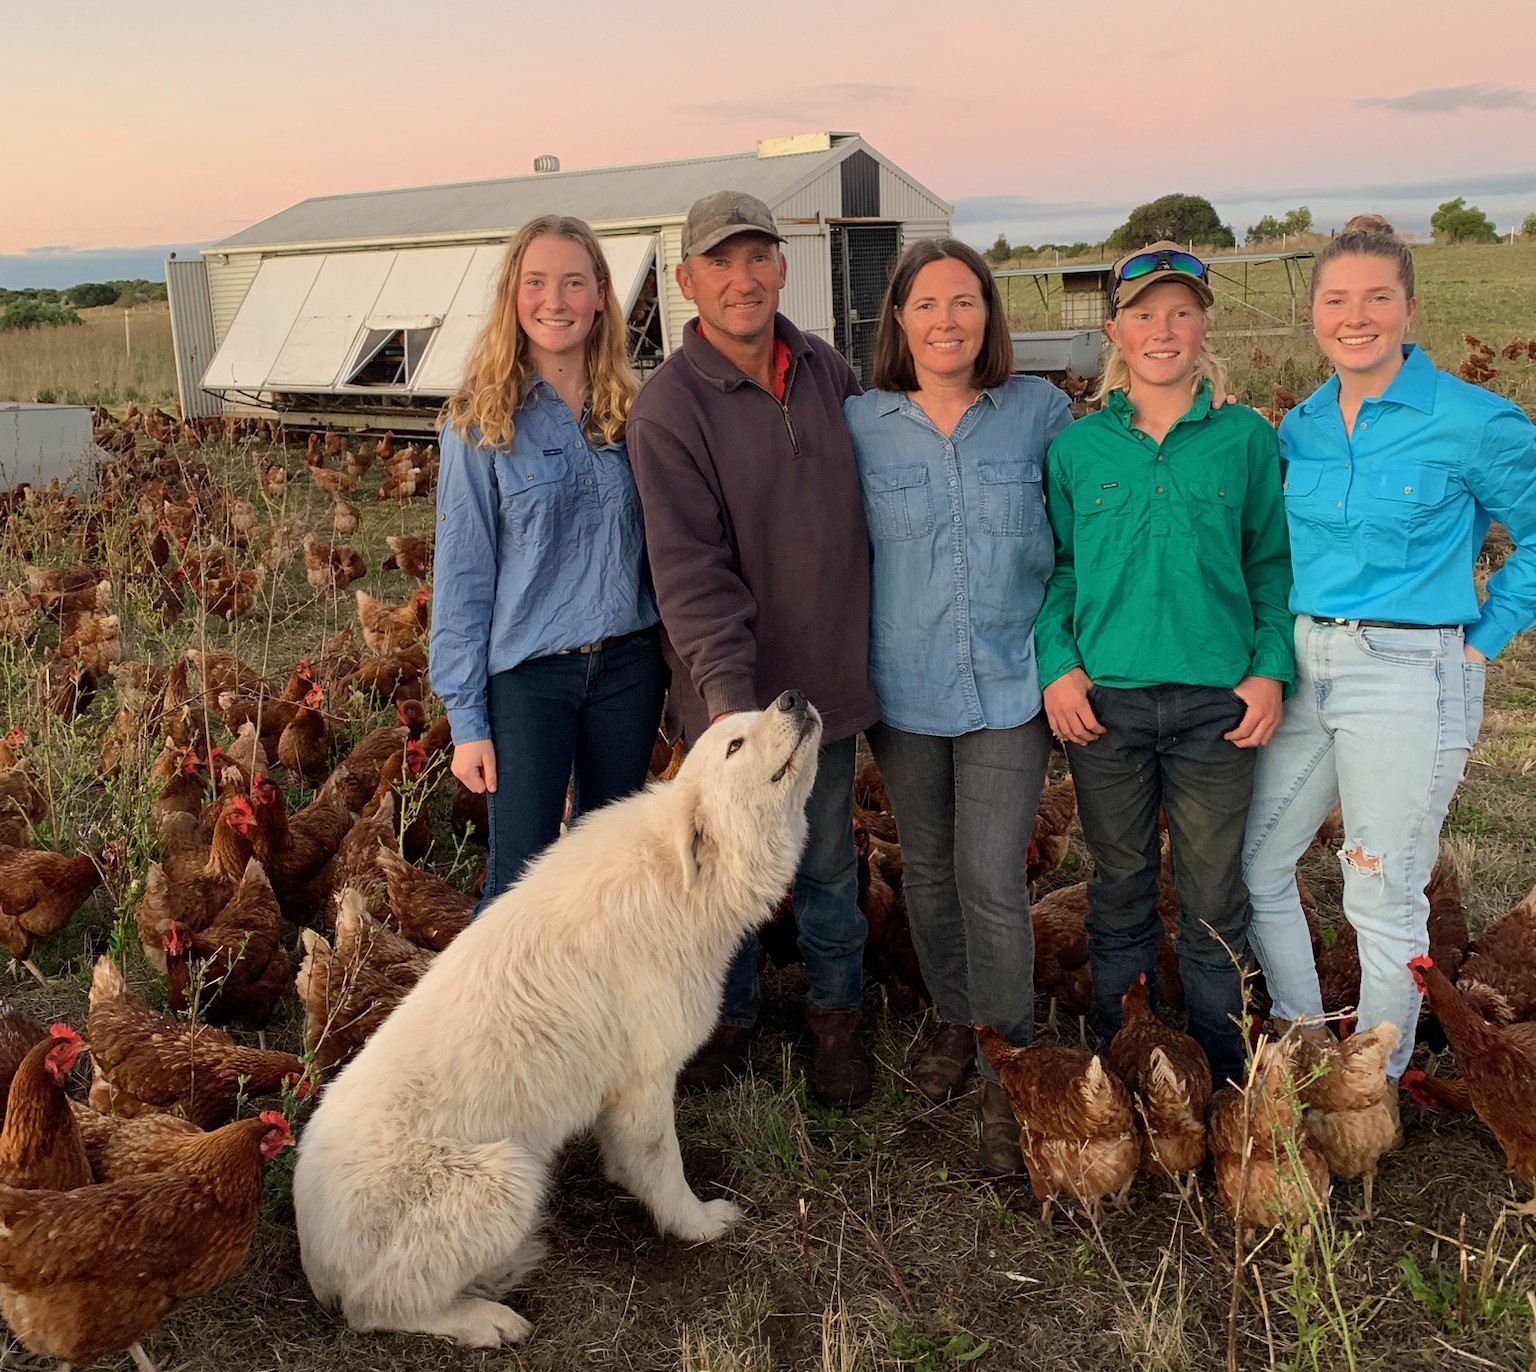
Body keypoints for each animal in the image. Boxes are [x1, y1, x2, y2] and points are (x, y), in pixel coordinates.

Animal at [293, 691, 823, 1345]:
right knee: (376, 1309)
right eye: (734, 745)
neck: (682, 883)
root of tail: (315, 1266)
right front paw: (696, 1224)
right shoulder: (647, 1080)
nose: (793, 698)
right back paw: (487, 1320)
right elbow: (664, 1165)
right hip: (506, 1176)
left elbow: (631, 1157)